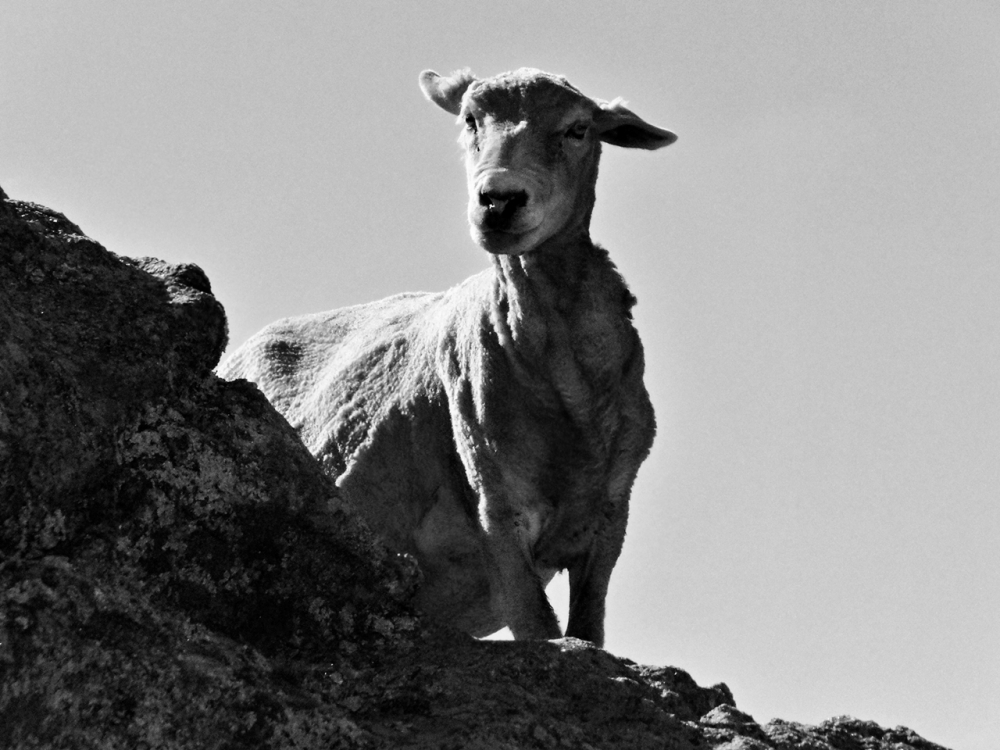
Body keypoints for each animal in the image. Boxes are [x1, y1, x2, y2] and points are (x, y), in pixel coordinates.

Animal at [215, 67, 676, 648]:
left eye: (578, 129)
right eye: (470, 120)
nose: (499, 199)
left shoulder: (611, 515)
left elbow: (587, 630)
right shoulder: (495, 500)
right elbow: (538, 628)